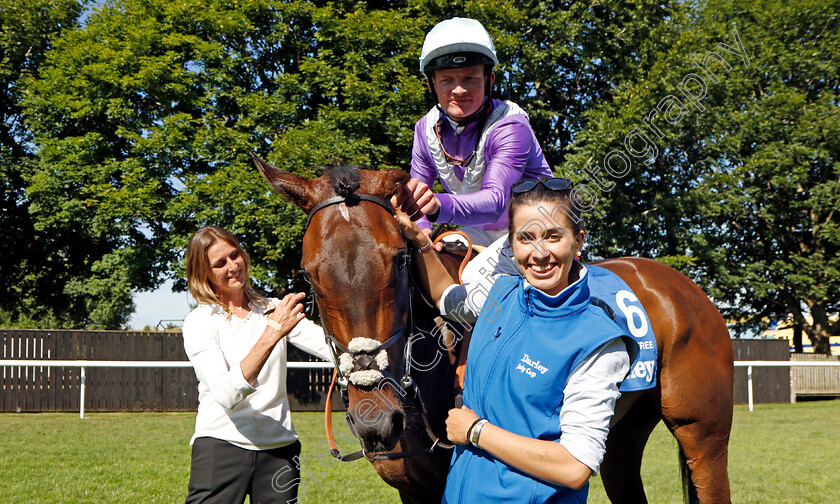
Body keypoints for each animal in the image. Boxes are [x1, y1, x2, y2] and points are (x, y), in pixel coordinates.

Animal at [253, 155, 732, 504]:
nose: (375, 421)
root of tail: (685, 287)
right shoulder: (414, 489)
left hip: (703, 433)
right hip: (620, 439)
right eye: (309, 274)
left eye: (399, 260)